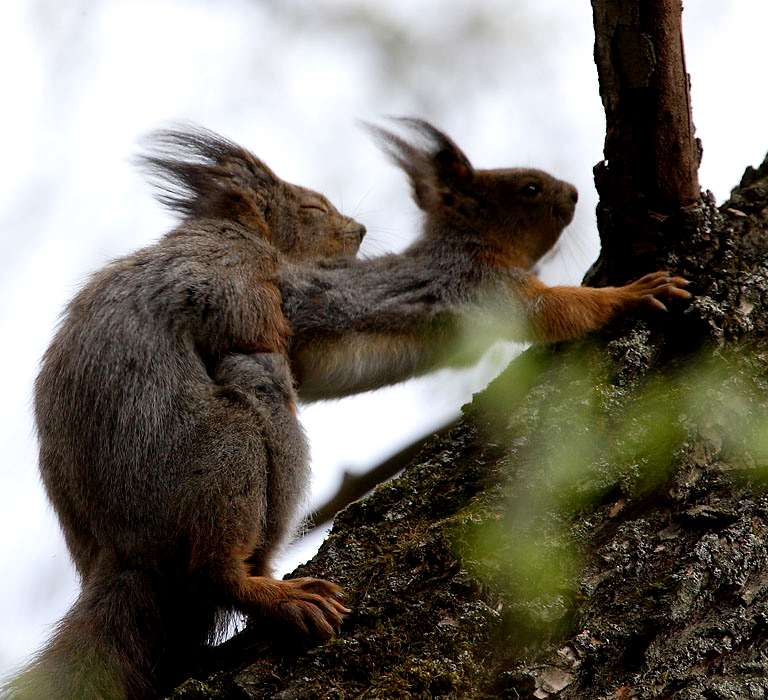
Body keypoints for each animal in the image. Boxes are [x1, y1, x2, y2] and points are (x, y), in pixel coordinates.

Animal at [4, 121, 688, 700]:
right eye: (528, 187)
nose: (573, 191)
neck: (468, 249)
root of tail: (119, 552)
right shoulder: (482, 290)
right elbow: (561, 312)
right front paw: (633, 293)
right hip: (213, 455)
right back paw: (266, 586)